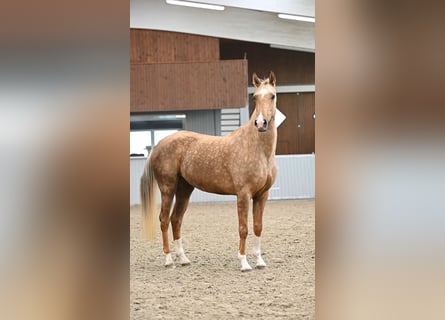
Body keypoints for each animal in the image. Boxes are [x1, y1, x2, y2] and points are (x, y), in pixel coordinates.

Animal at [140, 71, 278, 272]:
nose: (261, 123)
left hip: (184, 189)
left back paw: (183, 259)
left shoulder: (262, 194)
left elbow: (258, 227)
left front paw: (259, 261)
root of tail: (158, 145)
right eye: (254, 97)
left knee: (176, 219)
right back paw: (168, 260)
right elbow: (243, 228)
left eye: (272, 96)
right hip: (168, 189)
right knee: (164, 219)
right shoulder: (243, 194)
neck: (258, 149)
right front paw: (244, 263)